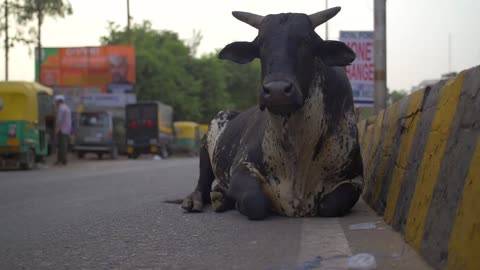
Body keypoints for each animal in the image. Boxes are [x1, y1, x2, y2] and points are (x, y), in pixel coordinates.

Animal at [180, 6, 364, 220]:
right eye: (261, 42)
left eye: (307, 40)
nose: (277, 90)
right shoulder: (242, 168)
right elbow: (254, 201)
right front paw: (237, 203)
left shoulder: (354, 179)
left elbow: (329, 206)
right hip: (206, 141)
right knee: (202, 181)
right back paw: (197, 200)